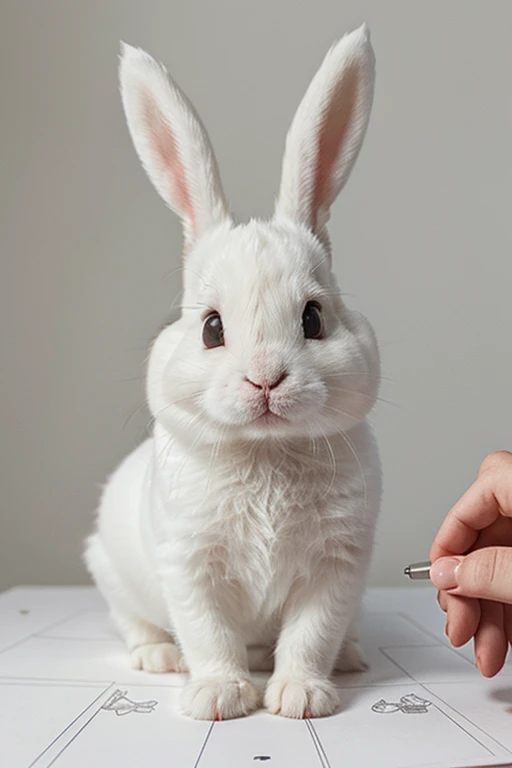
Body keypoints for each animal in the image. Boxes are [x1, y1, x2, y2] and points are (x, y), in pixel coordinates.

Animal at [85, 22, 380, 720]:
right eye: (212, 328)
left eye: (313, 319)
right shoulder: (191, 567)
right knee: (137, 623)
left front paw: (300, 698)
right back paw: (158, 659)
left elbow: (310, 634)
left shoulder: (336, 568)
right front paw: (219, 697)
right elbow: (208, 634)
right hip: (109, 569)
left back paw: (350, 657)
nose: (266, 380)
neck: (266, 449)